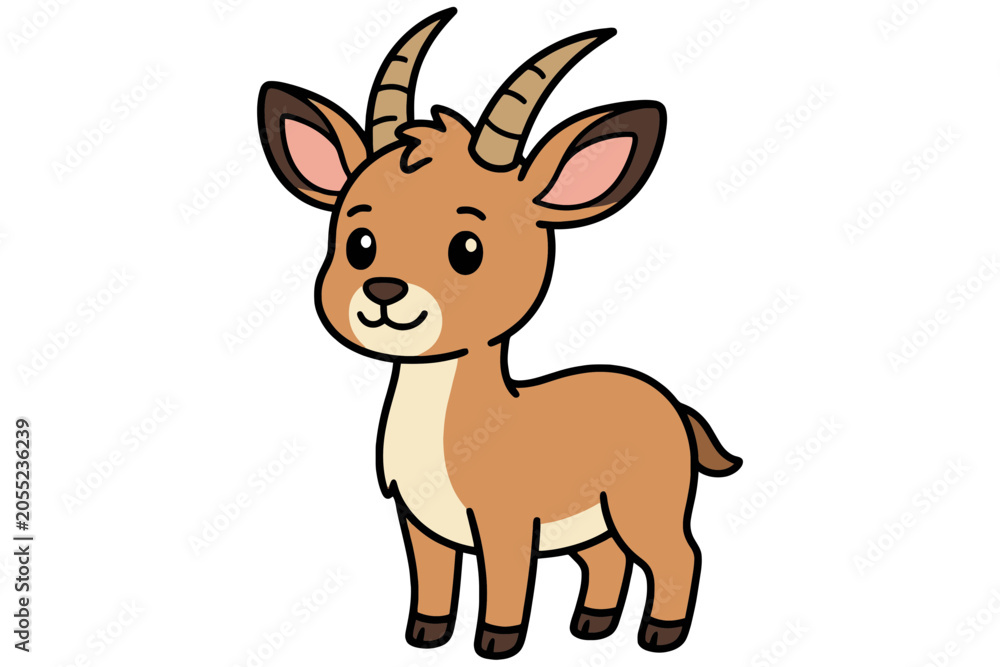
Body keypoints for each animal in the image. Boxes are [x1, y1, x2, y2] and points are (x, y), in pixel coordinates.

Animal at [257, 8, 742, 659]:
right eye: (360, 242)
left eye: (468, 248)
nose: (384, 291)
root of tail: (673, 405)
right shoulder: (419, 524)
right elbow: (433, 582)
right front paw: (425, 636)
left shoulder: (506, 522)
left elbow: (508, 582)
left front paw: (495, 643)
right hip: (595, 520)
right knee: (606, 560)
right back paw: (591, 626)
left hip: (646, 505)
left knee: (678, 555)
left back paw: (660, 636)